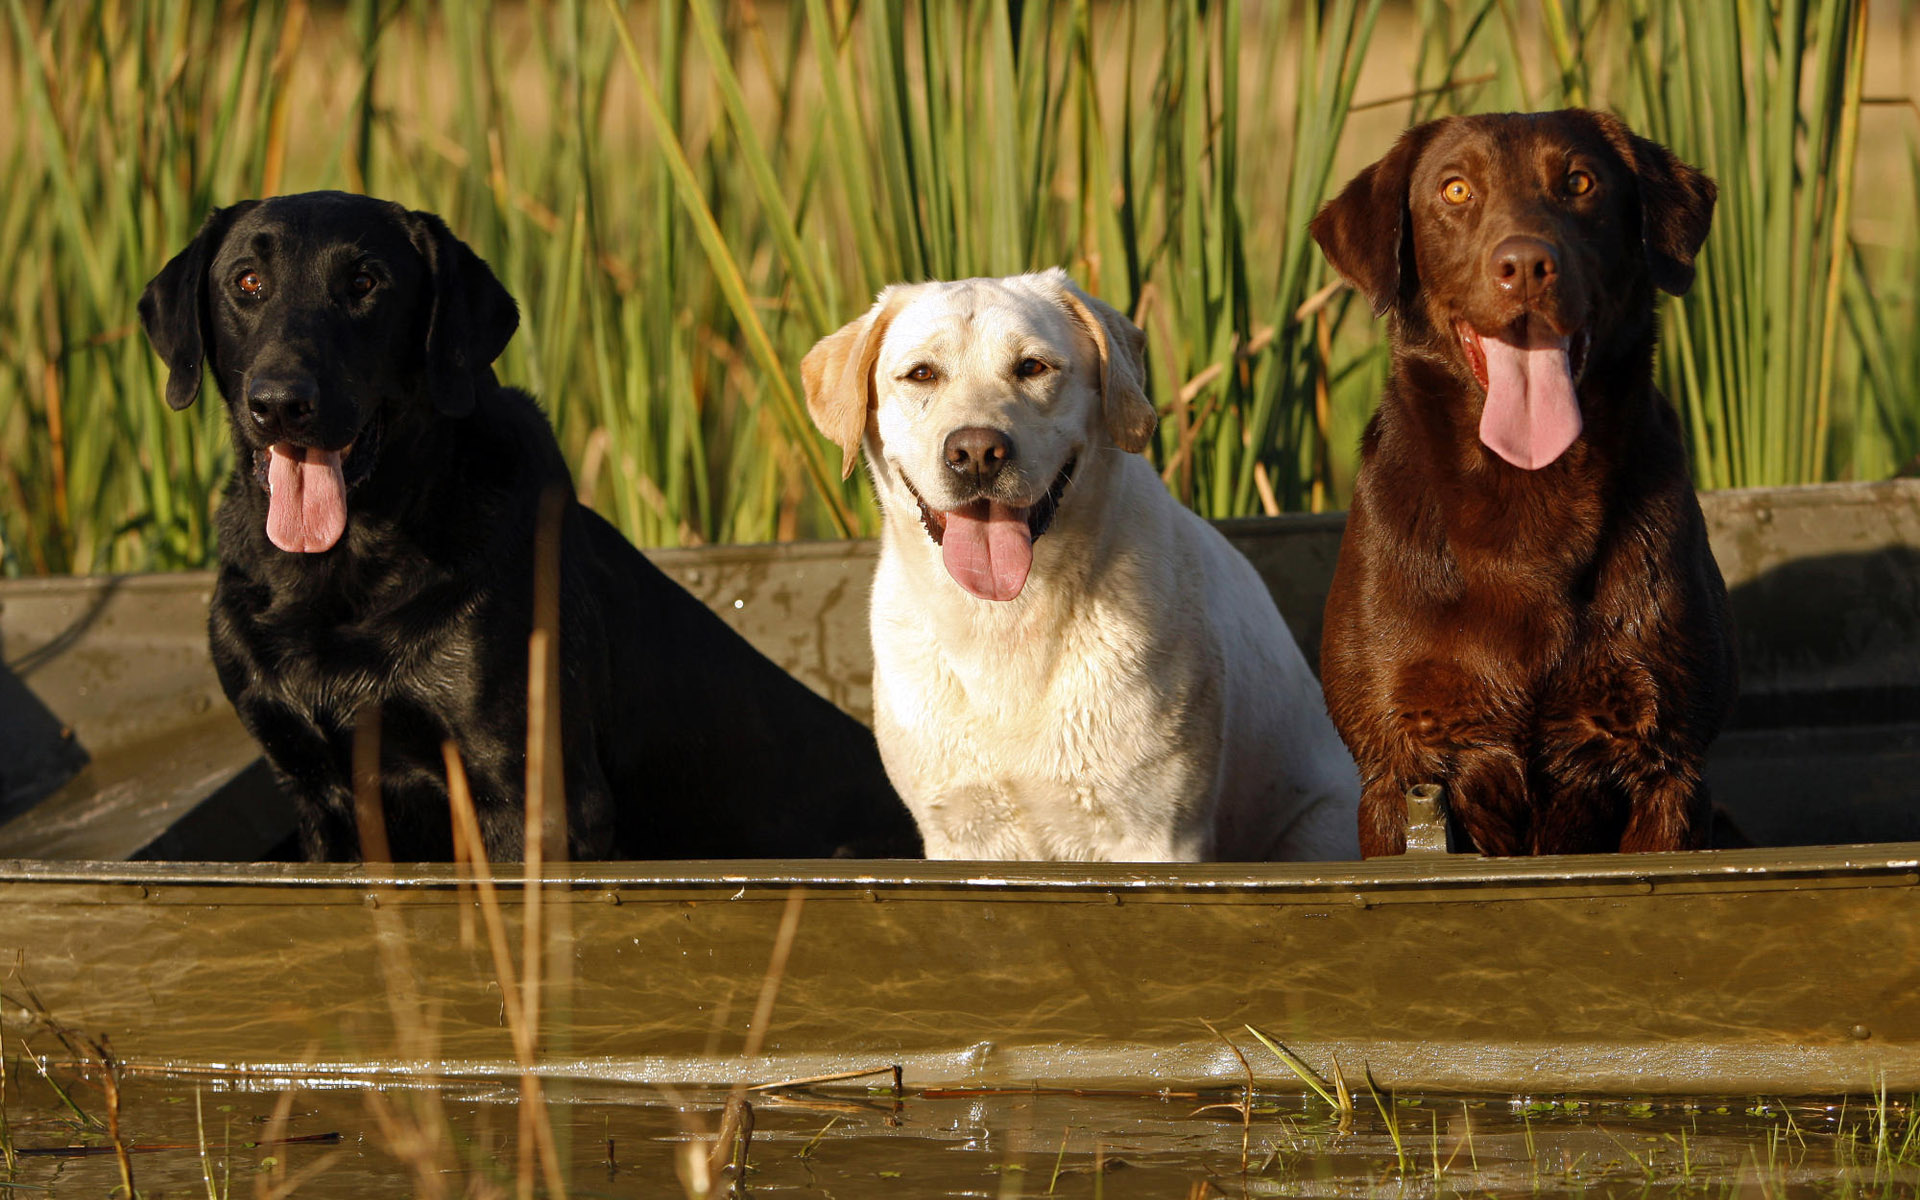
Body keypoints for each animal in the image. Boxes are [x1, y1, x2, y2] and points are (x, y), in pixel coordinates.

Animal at [139, 189, 917, 860]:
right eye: (246, 282)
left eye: (364, 282)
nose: (280, 402)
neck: (343, 574)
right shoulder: (319, 797)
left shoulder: (532, 795)